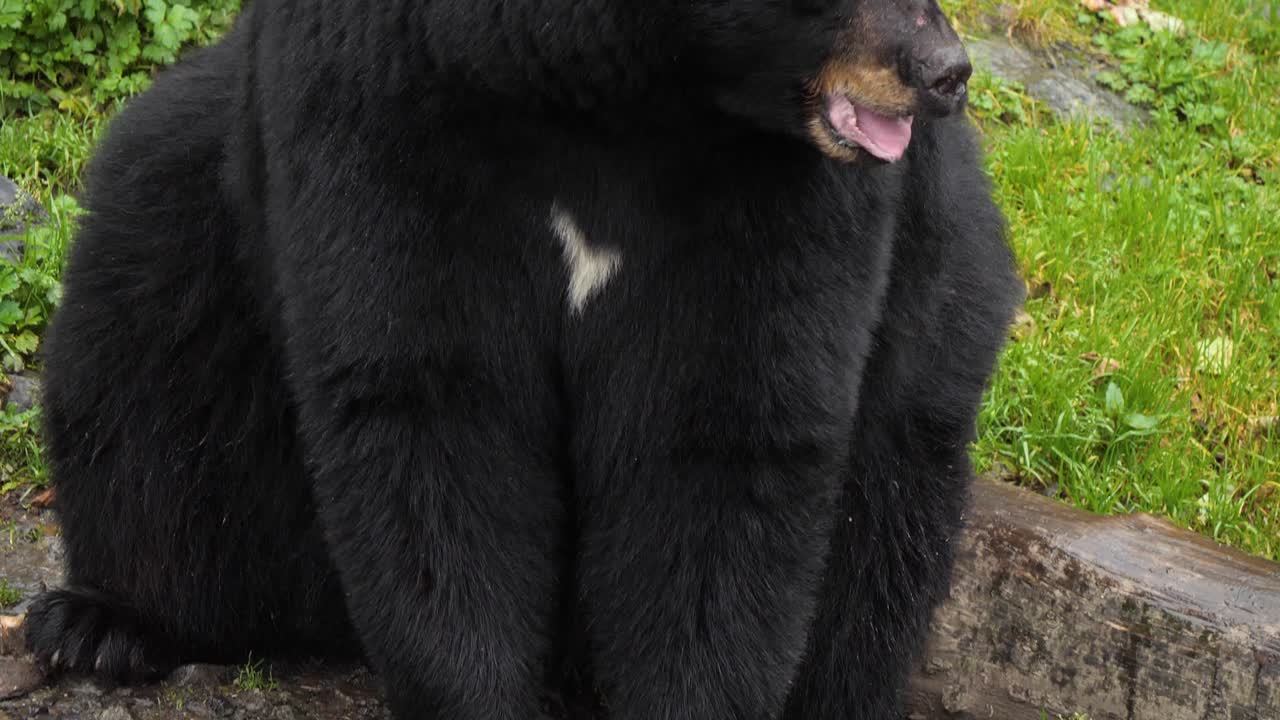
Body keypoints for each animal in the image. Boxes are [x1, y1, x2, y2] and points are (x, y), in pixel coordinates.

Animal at [23, 0, 1022, 718]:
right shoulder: (384, 93)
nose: (947, 73)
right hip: (196, 198)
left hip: (941, 301)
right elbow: (425, 401)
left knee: (887, 511)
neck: (618, 95)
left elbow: (724, 430)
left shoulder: (791, 188)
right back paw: (102, 623)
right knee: (143, 341)